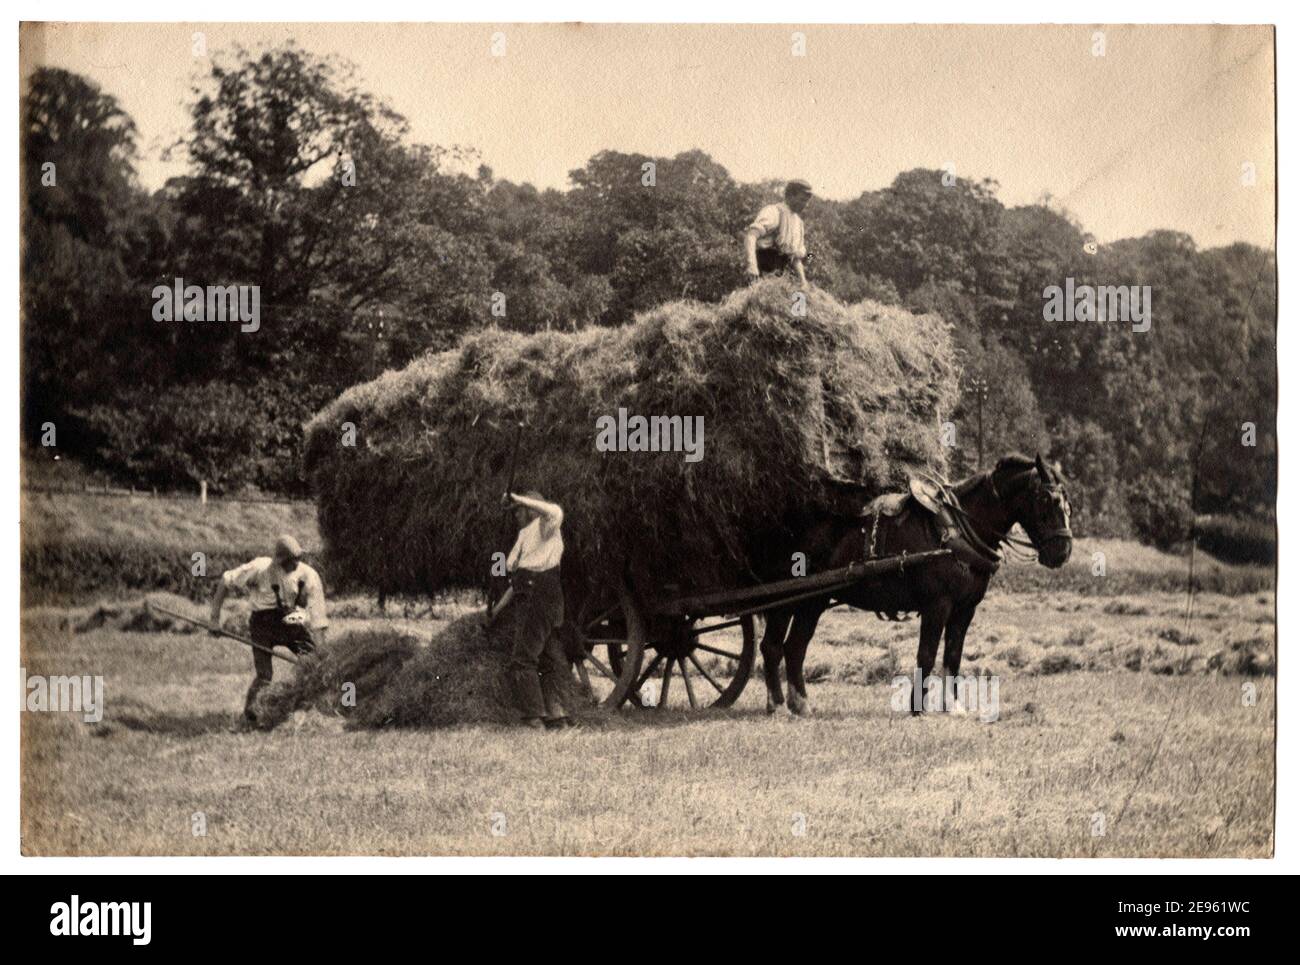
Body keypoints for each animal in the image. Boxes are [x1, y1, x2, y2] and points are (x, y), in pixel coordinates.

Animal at [759, 452, 1071, 717]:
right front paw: (917, 708)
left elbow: (953, 656)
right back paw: (780, 704)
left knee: (793, 647)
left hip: (812, 600)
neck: (955, 531)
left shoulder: (964, 610)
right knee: (774, 647)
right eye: (1046, 499)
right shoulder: (937, 605)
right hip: (790, 600)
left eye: (1068, 503)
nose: (1062, 552)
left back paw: (798, 704)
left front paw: (952, 706)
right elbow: (927, 654)